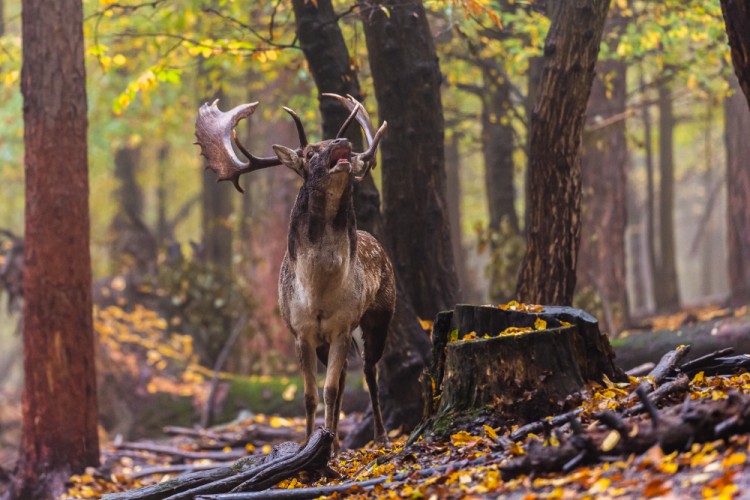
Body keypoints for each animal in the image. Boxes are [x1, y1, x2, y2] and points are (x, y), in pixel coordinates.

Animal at [197, 93, 396, 450]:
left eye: (337, 142)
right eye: (310, 152)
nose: (344, 142)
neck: (318, 293)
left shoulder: (342, 326)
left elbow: (329, 390)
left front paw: (327, 446)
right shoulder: (300, 332)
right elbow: (310, 395)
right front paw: (308, 443)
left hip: (379, 316)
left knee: (370, 372)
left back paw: (380, 436)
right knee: (347, 376)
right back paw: (337, 440)